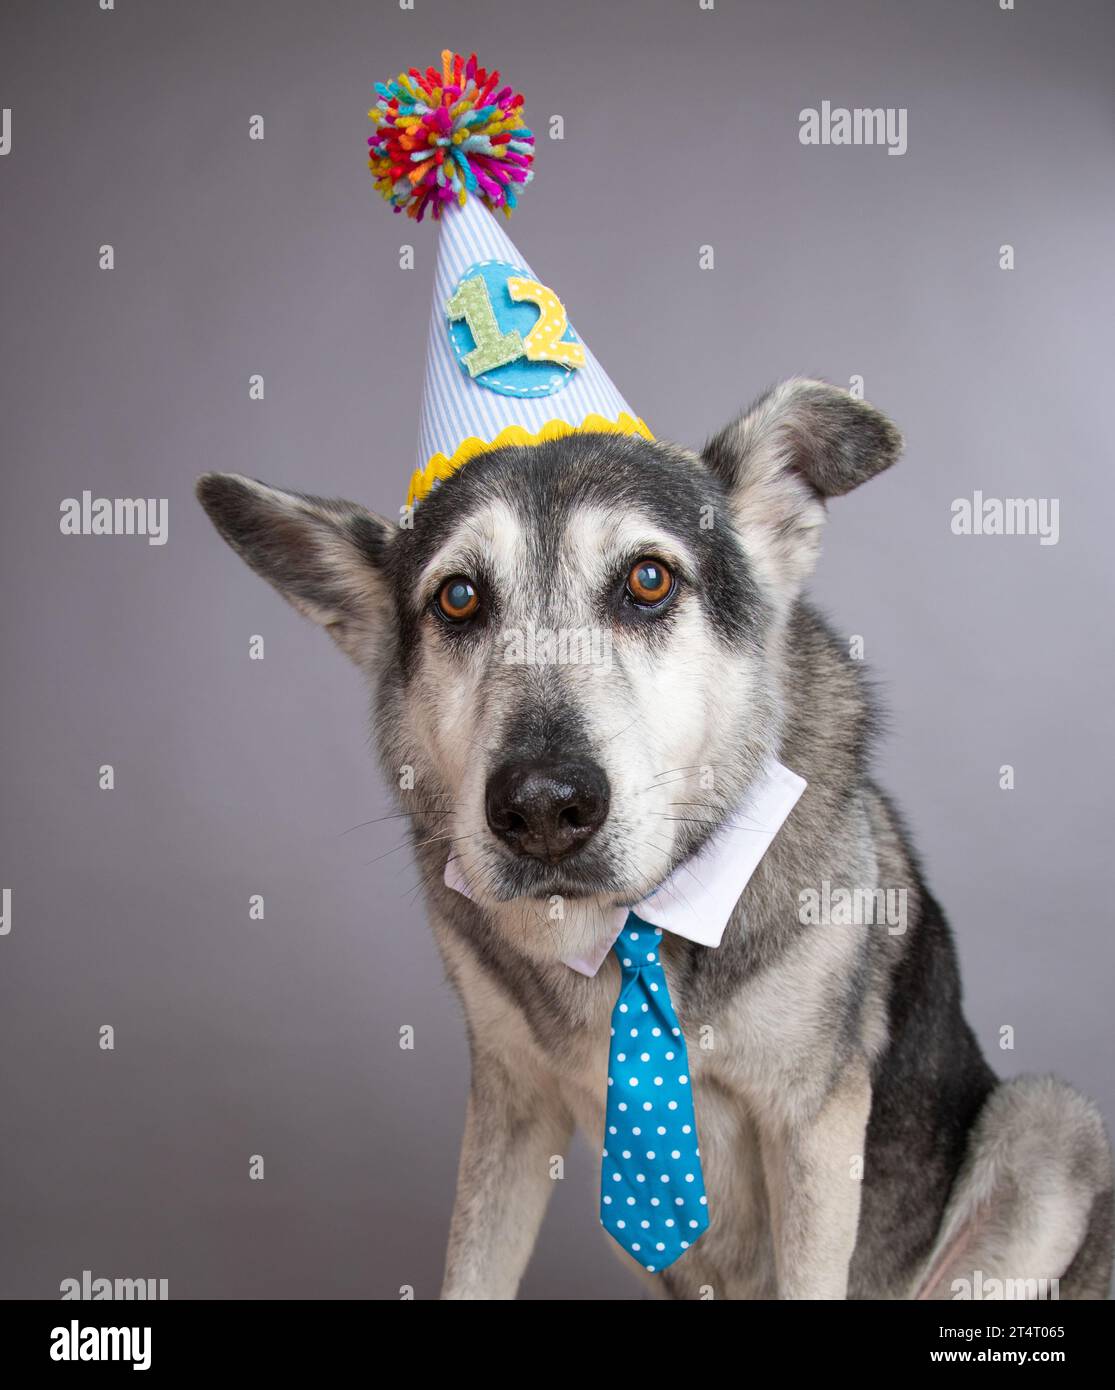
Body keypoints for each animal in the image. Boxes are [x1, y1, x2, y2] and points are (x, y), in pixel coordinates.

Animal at [196, 383, 1106, 1301]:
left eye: (647, 580)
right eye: (457, 598)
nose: (542, 807)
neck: (630, 923)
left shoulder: (812, 1126)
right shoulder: (510, 1106)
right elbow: (471, 1271)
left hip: (1048, 1128)